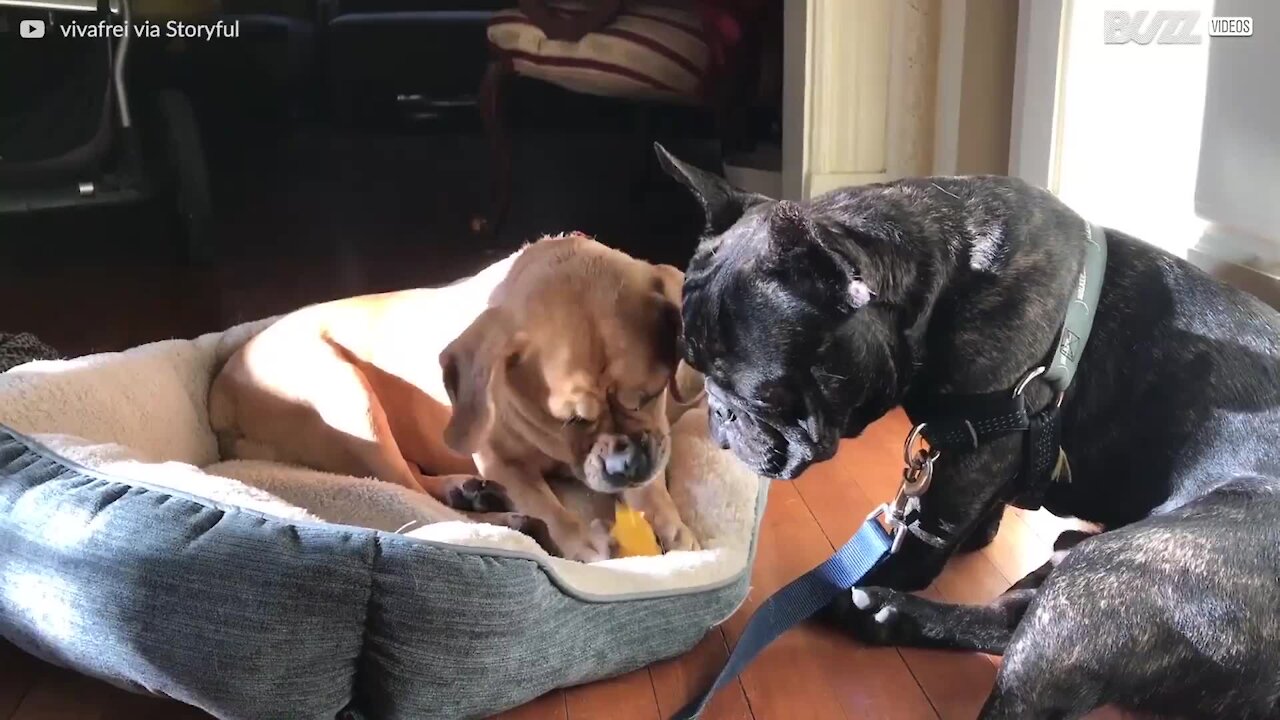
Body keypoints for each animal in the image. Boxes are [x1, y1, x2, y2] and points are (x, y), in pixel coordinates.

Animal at [207, 233, 701, 558]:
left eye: (652, 394)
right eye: (570, 420)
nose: (627, 464)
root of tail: (221, 392)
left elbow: (653, 487)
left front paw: (670, 523)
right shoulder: (502, 462)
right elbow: (547, 504)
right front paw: (581, 541)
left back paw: (467, 492)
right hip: (349, 397)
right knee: (413, 496)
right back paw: (499, 516)